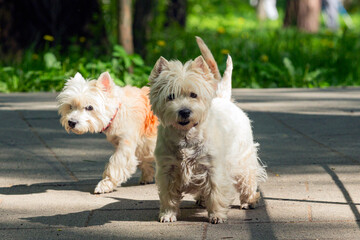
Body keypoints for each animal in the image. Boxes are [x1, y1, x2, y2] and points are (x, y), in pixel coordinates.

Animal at [149, 37, 268, 223]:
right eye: (171, 96)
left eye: (193, 94)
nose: (184, 112)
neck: (186, 136)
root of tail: (223, 98)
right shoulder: (167, 169)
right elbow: (168, 195)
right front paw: (168, 214)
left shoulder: (213, 169)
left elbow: (215, 192)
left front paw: (217, 215)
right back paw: (201, 200)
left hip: (243, 157)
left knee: (248, 177)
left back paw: (249, 200)